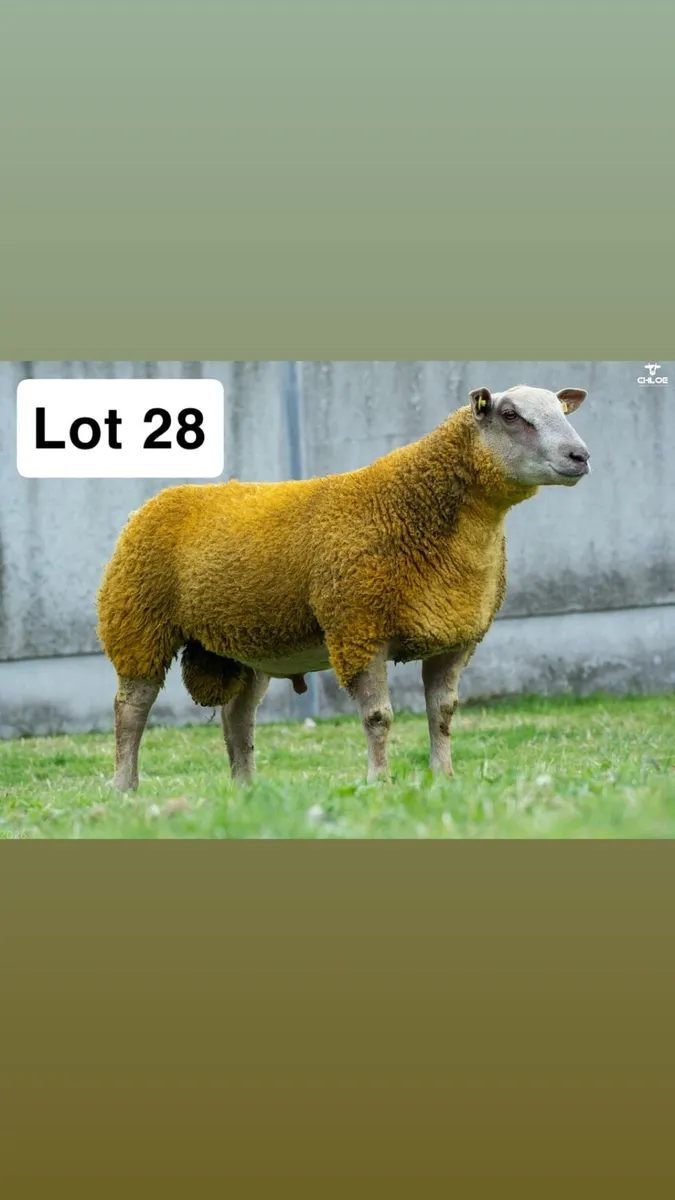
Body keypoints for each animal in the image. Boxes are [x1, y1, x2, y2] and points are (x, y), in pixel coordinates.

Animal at [97, 383, 590, 791]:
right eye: (510, 415)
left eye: (560, 410)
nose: (580, 455)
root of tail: (156, 502)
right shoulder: (358, 629)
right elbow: (378, 716)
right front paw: (379, 781)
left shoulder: (454, 638)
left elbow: (443, 714)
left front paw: (444, 777)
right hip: (137, 624)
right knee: (130, 710)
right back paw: (125, 788)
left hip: (248, 645)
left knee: (237, 720)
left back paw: (246, 790)